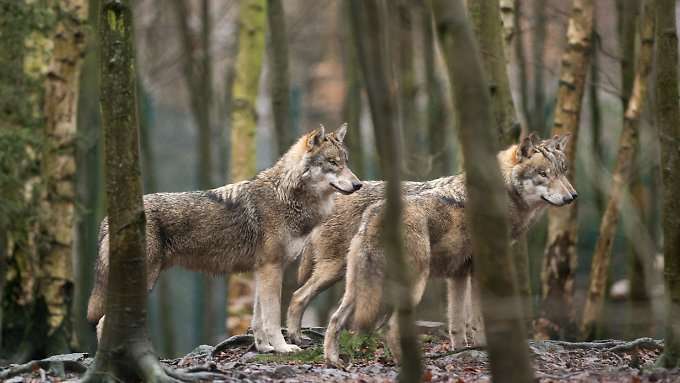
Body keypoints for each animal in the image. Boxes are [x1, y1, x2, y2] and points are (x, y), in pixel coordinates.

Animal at [88, 124, 364, 354]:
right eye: (332, 162)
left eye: (346, 162)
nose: (358, 184)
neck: (286, 196)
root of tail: (108, 220)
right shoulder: (272, 268)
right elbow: (272, 317)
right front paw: (283, 348)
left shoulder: (262, 270)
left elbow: (257, 317)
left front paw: (264, 348)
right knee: (102, 323)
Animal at [314, 134, 572, 368]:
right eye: (543, 174)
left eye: (563, 172)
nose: (571, 197)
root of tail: (377, 215)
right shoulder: (479, 274)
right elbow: (477, 320)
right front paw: (483, 349)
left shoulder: (457, 276)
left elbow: (456, 323)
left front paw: (459, 352)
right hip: (410, 286)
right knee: (390, 327)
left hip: (357, 288)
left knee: (335, 320)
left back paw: (333, 361)